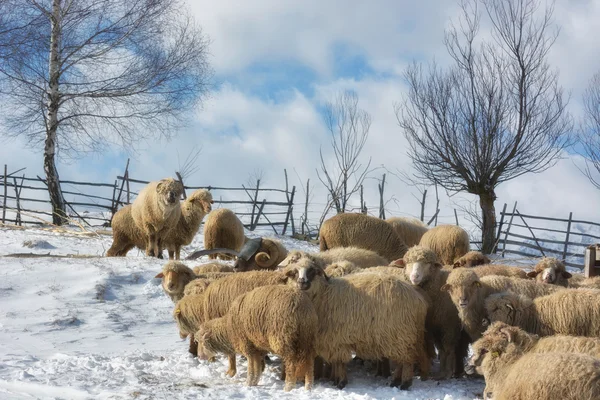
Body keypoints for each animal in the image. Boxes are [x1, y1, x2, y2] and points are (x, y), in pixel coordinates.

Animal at [284, 258, 428, 390]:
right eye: (295, 272)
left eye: (312, 271)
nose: (302, 282)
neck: (323, 295)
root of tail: (419, 300)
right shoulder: (334, 339)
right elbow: (337, 361)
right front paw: (337, 380)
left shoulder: (336, 337)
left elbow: (339, 361)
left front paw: (341, 382)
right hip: (400, 336)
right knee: (401, 361)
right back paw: (396, 381)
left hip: (401, 333)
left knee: (407, 361)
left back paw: (405, 383)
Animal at [396, 245, 472, 380]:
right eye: (407, 262)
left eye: (427, 263)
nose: (415, 276)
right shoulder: (435, 326)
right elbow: (441, 350)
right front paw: (441, 372)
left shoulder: (450, 325)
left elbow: (447, 349)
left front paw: (447, 373)